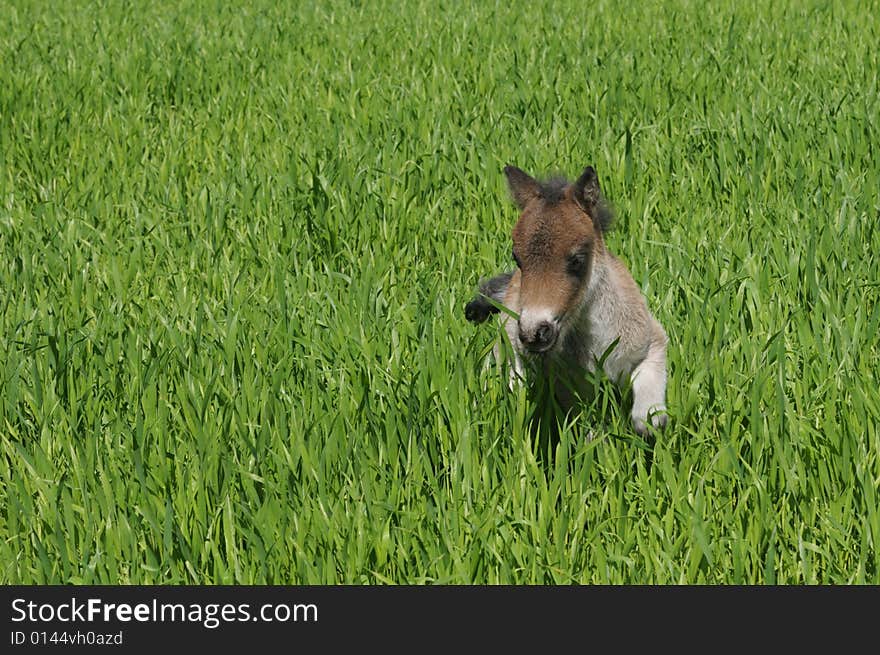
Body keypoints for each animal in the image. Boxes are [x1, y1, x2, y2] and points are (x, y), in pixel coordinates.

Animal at [468, 167, 668, 438]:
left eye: (577, 260)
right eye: (517, 258)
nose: (534, 333)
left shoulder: (652, 338)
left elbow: (649, 396)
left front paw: (650, 420)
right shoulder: (569, 389)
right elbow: (587, 429)